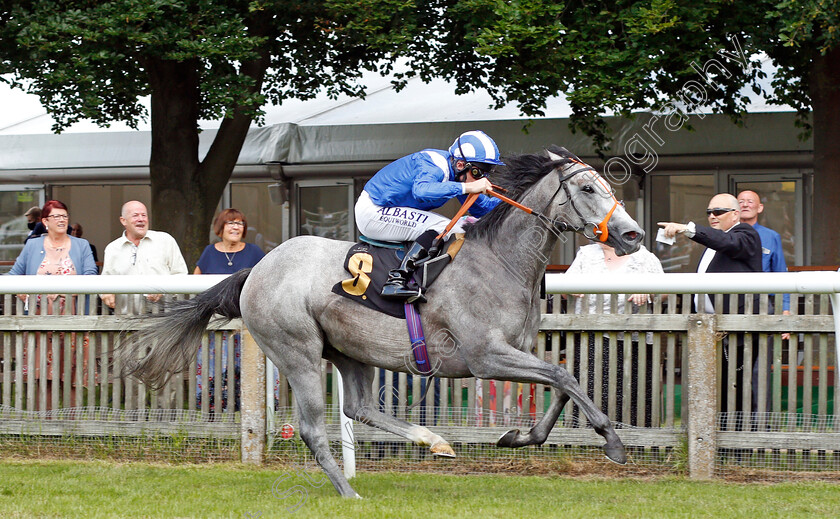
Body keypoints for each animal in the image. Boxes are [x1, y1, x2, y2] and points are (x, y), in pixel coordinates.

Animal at [118, 145, 644, 496]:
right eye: (587, 188)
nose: (632, 235)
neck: (501, 261)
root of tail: (258, 268)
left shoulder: (517, 350)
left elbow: (562, 379)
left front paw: (519, 437)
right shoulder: (485, 357)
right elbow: (563, 376)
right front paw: (614, 443)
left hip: (351, 351)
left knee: (360, 408)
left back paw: (434, 441)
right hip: (297, 352)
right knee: (314, 427)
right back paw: (349, 492)